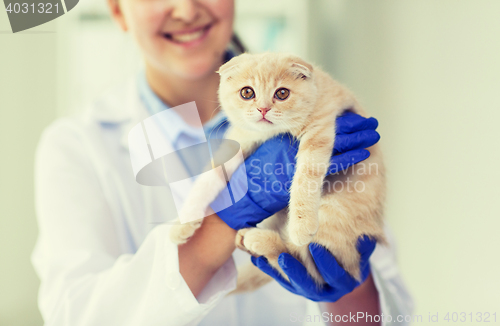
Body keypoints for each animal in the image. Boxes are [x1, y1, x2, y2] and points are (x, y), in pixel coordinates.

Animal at [170, 53, 384, 290]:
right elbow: (207, 179)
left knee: (303, 265)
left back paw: (258, 240)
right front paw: (182, 223)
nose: (263, 109)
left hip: (334, 214)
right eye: (247, 92)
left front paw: (301, 224)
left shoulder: (320, 129)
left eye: (282, 93)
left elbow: (306, 177)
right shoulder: (238, 141)